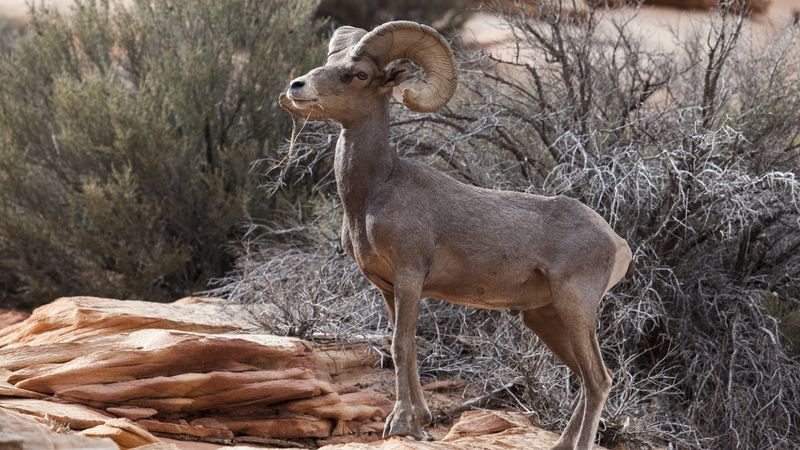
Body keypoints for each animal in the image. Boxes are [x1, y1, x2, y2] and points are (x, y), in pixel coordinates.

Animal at [278, 20, 636, 450]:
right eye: (330, 61)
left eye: (359, 74)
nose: (297, 87)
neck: (371, 193)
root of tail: (617, 244)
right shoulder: (387, 288)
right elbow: (407, 347)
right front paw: (419, 420)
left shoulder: (410, 278)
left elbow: (400, 346)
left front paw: (398, 424)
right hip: (546, 317)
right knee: (584, 378)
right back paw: (560, 445)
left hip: (575, 307)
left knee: (599, 379)